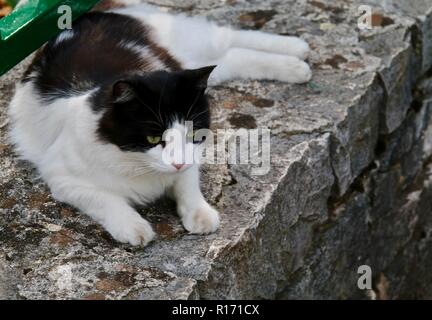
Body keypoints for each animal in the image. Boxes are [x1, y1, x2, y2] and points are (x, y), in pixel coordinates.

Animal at [6, 3, 310, 246]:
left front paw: (199, 213)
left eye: (191, 132)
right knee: (234, 54)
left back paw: (298, 50)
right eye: (153, 139)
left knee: (230, 36)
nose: (175, 162)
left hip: (191, 49)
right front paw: (134, 227)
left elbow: (188, 182)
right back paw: (297, 64)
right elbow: (107, 200)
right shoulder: (62, 177)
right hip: (200, 63)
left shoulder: (191, 156)